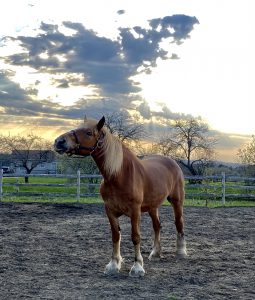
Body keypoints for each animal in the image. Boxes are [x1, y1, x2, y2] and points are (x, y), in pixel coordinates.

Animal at [54, 115, 187, 276]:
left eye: (89, 133)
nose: (59, 141)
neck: (119, 175)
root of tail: (173, 162)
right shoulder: (110, 210)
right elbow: (115, 236)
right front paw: (113, 264)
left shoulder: (135, 212)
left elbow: (135, 237)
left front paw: (137, 267)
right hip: (152, 206)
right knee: (157, 226)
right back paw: (155, 253)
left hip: (176, 201)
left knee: (178, 223)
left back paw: (181, 252)